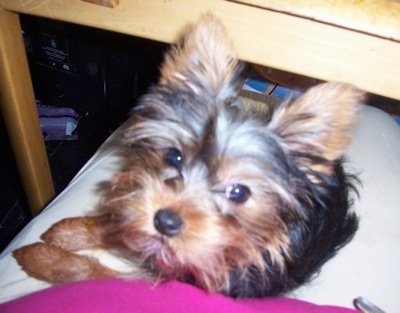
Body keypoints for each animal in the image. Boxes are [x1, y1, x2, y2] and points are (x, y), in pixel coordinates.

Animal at [13, 13, 366, 298]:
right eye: (174, 157)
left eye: (239, 192)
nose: (165, 221)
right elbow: (120, 220)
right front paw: (67, 232)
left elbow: (97, 274)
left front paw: (42, 258)